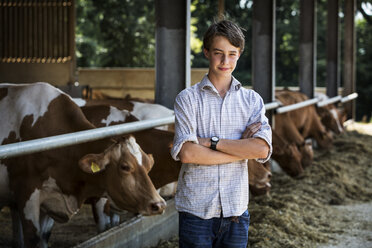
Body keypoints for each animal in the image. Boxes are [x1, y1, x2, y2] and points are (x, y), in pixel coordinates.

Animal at [0, 84, 166, 248]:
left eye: (148, 166)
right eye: (125, 167)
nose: (159, 204)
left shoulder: (52, 198)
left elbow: (44, 236)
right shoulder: (26, 194)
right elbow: (33, 238)